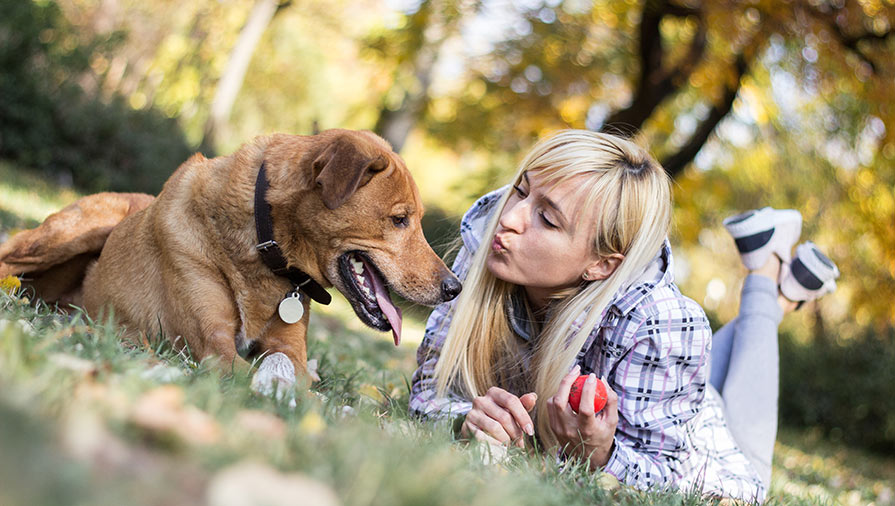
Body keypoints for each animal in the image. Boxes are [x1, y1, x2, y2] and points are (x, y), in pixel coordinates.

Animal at [0, 130, 462, 380]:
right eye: (400, 220)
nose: (454, 287)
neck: (263, 248)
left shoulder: (287, 347)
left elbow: (291, 370)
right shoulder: (213, 345)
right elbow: (241, 368)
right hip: (75, 231)